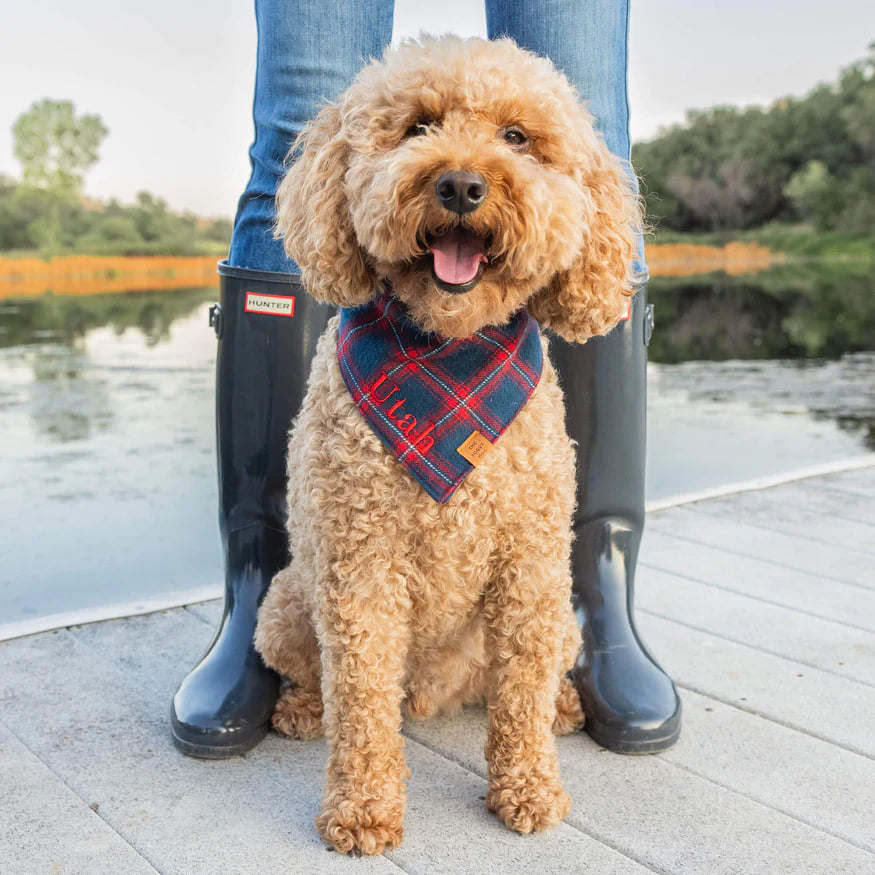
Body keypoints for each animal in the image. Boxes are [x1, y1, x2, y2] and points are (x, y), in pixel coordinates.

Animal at [253, 34, 636, 856]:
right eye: (418, 127)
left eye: (517, 137)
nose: (460, 185)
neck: (448, 353)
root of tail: (431, 694)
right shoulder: (360, 569)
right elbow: (361, 702)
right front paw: (362, 810)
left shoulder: (529, 568)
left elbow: (519, 697)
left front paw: (528, 788)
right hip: (286, 603)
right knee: (325, 680)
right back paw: (302, 709)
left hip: (563, 620)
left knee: (515, 684)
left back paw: (563, 705)